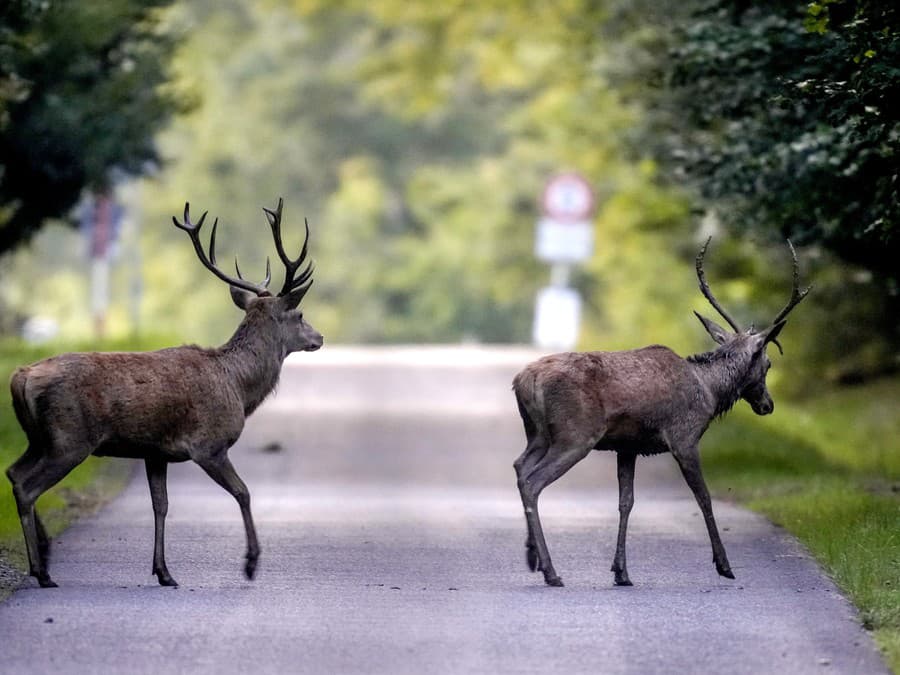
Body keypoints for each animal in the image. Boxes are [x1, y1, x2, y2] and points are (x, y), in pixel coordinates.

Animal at [5, 197, 322, 588]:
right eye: (300, 314)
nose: (319, 337)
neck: (238, 387)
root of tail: (20, 377)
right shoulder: (208, 445)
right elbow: (243, 492)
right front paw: (251, 563)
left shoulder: (155, 452)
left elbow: (161, 505)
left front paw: (164, 571)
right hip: (69, 439)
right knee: (28, 487)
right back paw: (42, 571)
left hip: (40, 439)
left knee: (14, 472)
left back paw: (45, 557)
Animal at [510, 238, 812, 588]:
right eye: (768, 364)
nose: (767, 405)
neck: (710, 392)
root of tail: (524, 380)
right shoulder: (684, 437)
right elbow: (703, 497)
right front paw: (724, 565)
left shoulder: (626, 447)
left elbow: (625, 502)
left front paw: (621, 571)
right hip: (574, 436)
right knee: (533, 482)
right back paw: (550, 570)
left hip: (537, 434)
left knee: (520, 467)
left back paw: (532, 556)